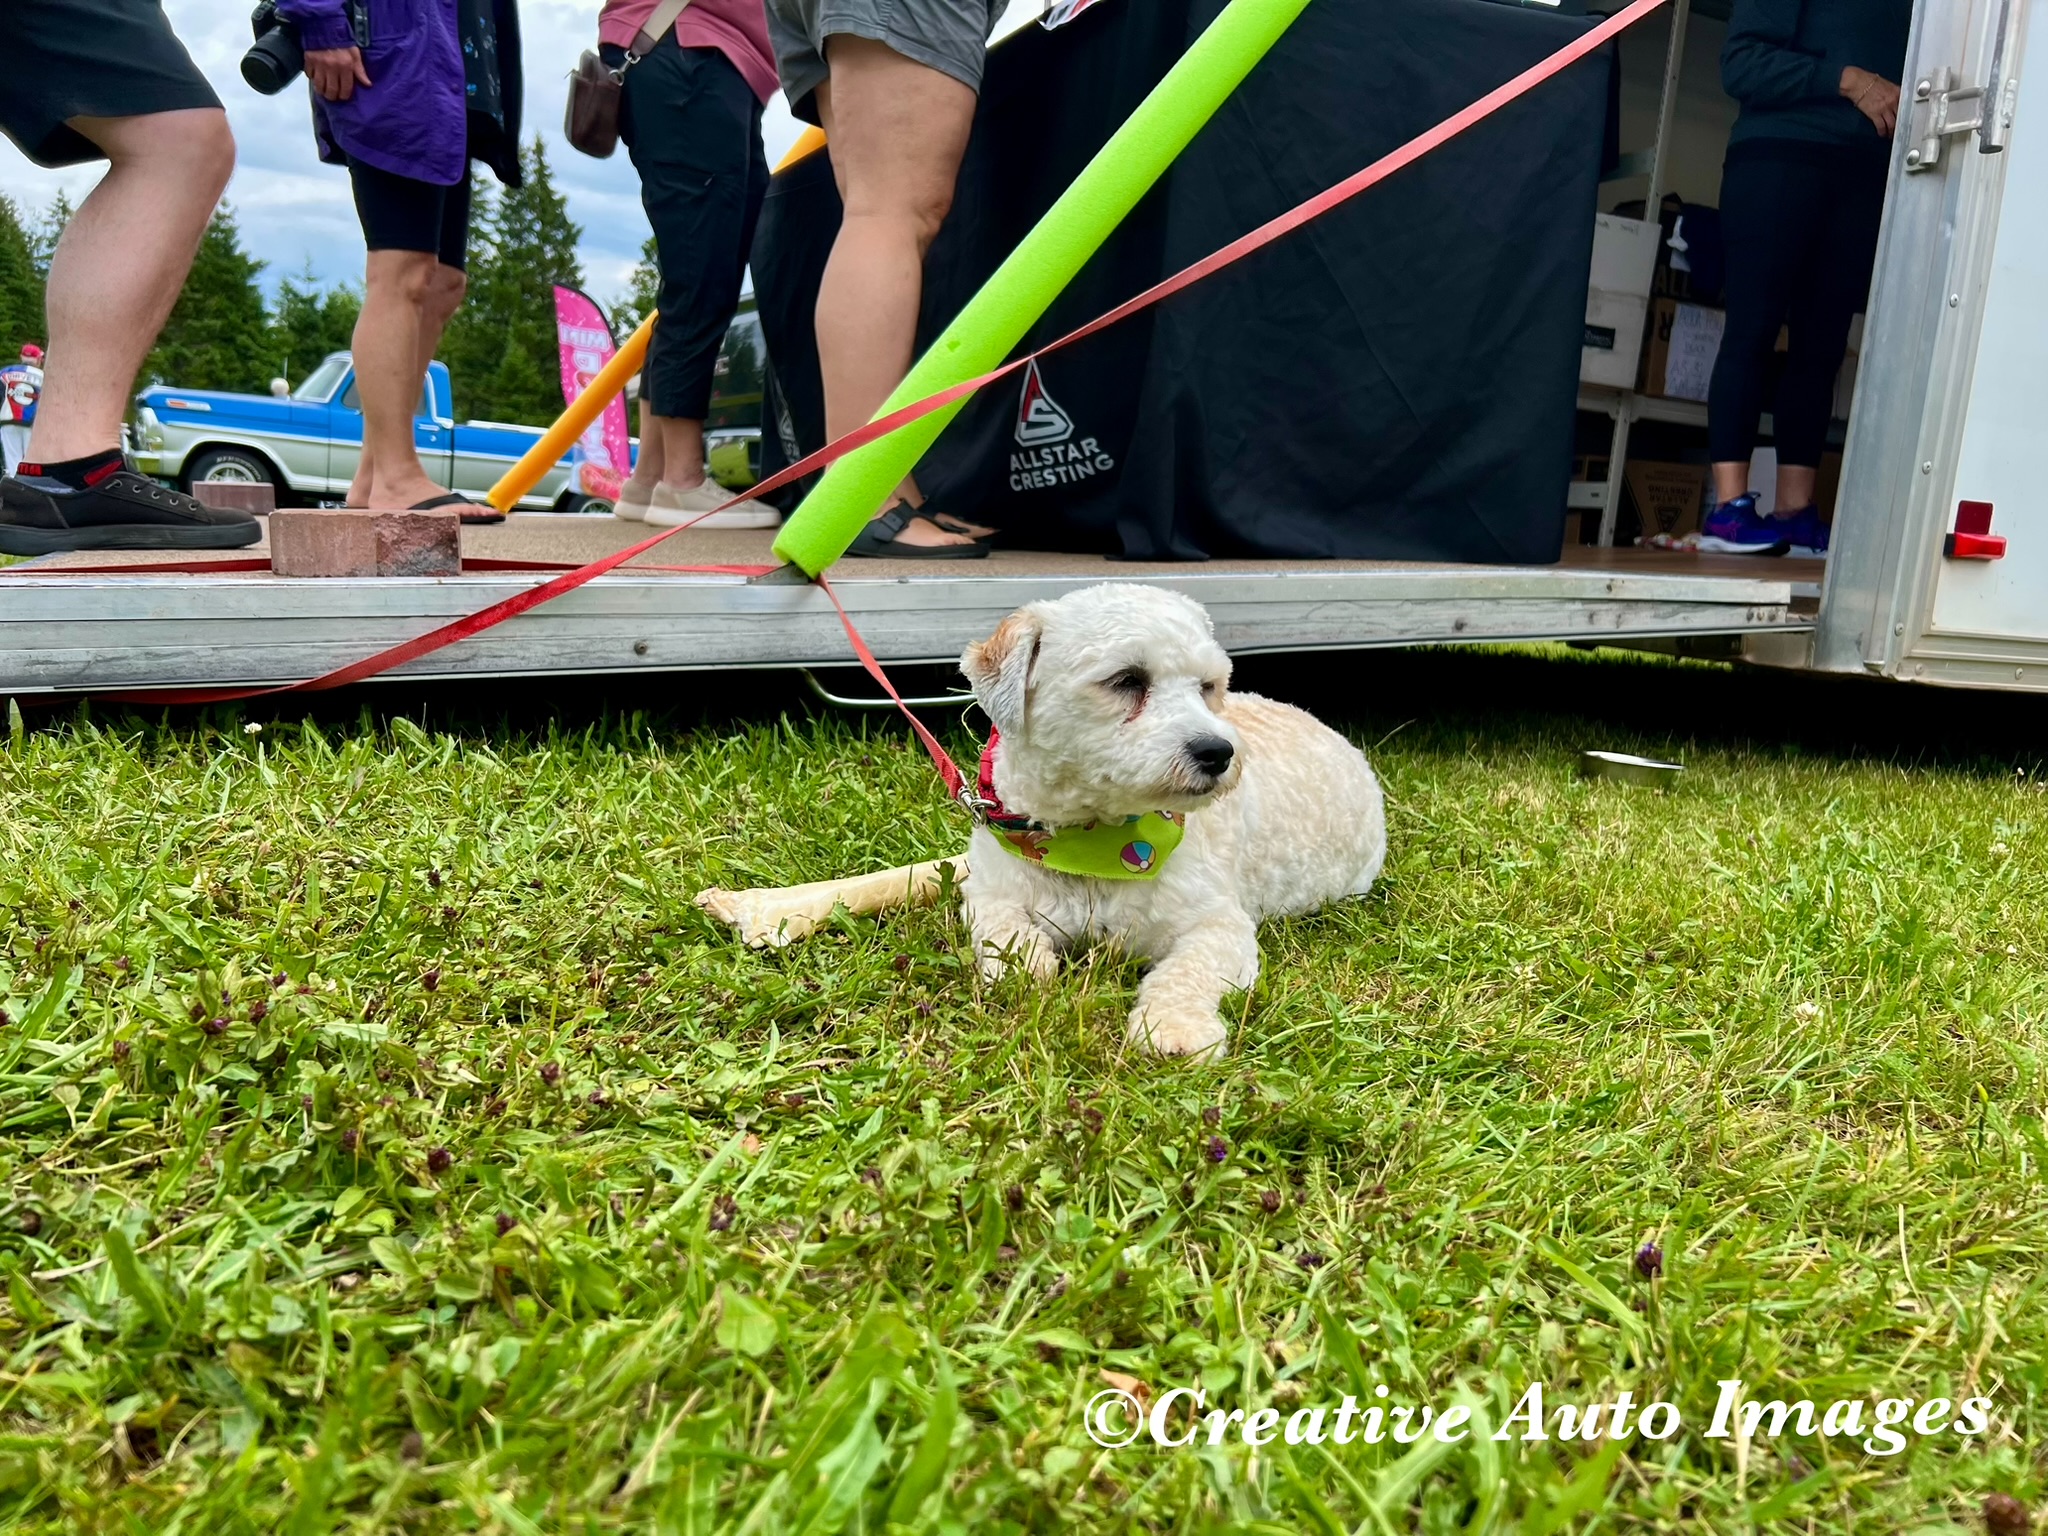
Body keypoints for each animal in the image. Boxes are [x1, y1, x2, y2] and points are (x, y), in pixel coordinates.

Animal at [697, 584, 1386, 1058]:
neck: (1095, 840)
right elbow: (1008, 940)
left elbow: (1188, 970)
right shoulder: (994, 888)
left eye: (1208, 686)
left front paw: (1175, 1027)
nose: (1219, 753)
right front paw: (1029, 971)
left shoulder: (1218, 924)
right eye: (1127, 679)